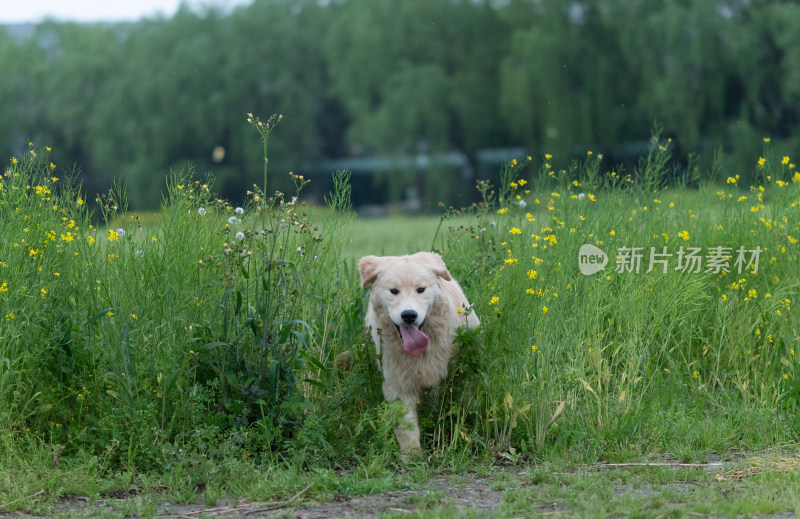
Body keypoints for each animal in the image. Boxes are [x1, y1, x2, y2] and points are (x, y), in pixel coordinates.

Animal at [358, 253, 482, 456]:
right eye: (394, 291)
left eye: (421, 290)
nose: (409, 315)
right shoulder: (398, 383)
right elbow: (406, 425)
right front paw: (412, 454)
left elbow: (465, 404)